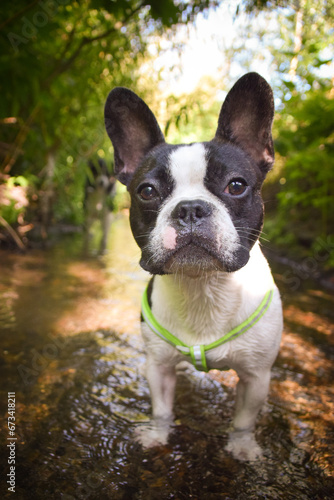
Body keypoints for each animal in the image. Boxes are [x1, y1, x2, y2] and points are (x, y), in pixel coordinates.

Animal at [103, 73, 282, 460]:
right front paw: (157, 436)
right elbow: (162, 409)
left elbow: (244, 419)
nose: (189, 208)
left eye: (236, 185)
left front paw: (242, 447)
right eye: (147, 191)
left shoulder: (257, 376)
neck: (203, 286)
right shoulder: (158, 366)